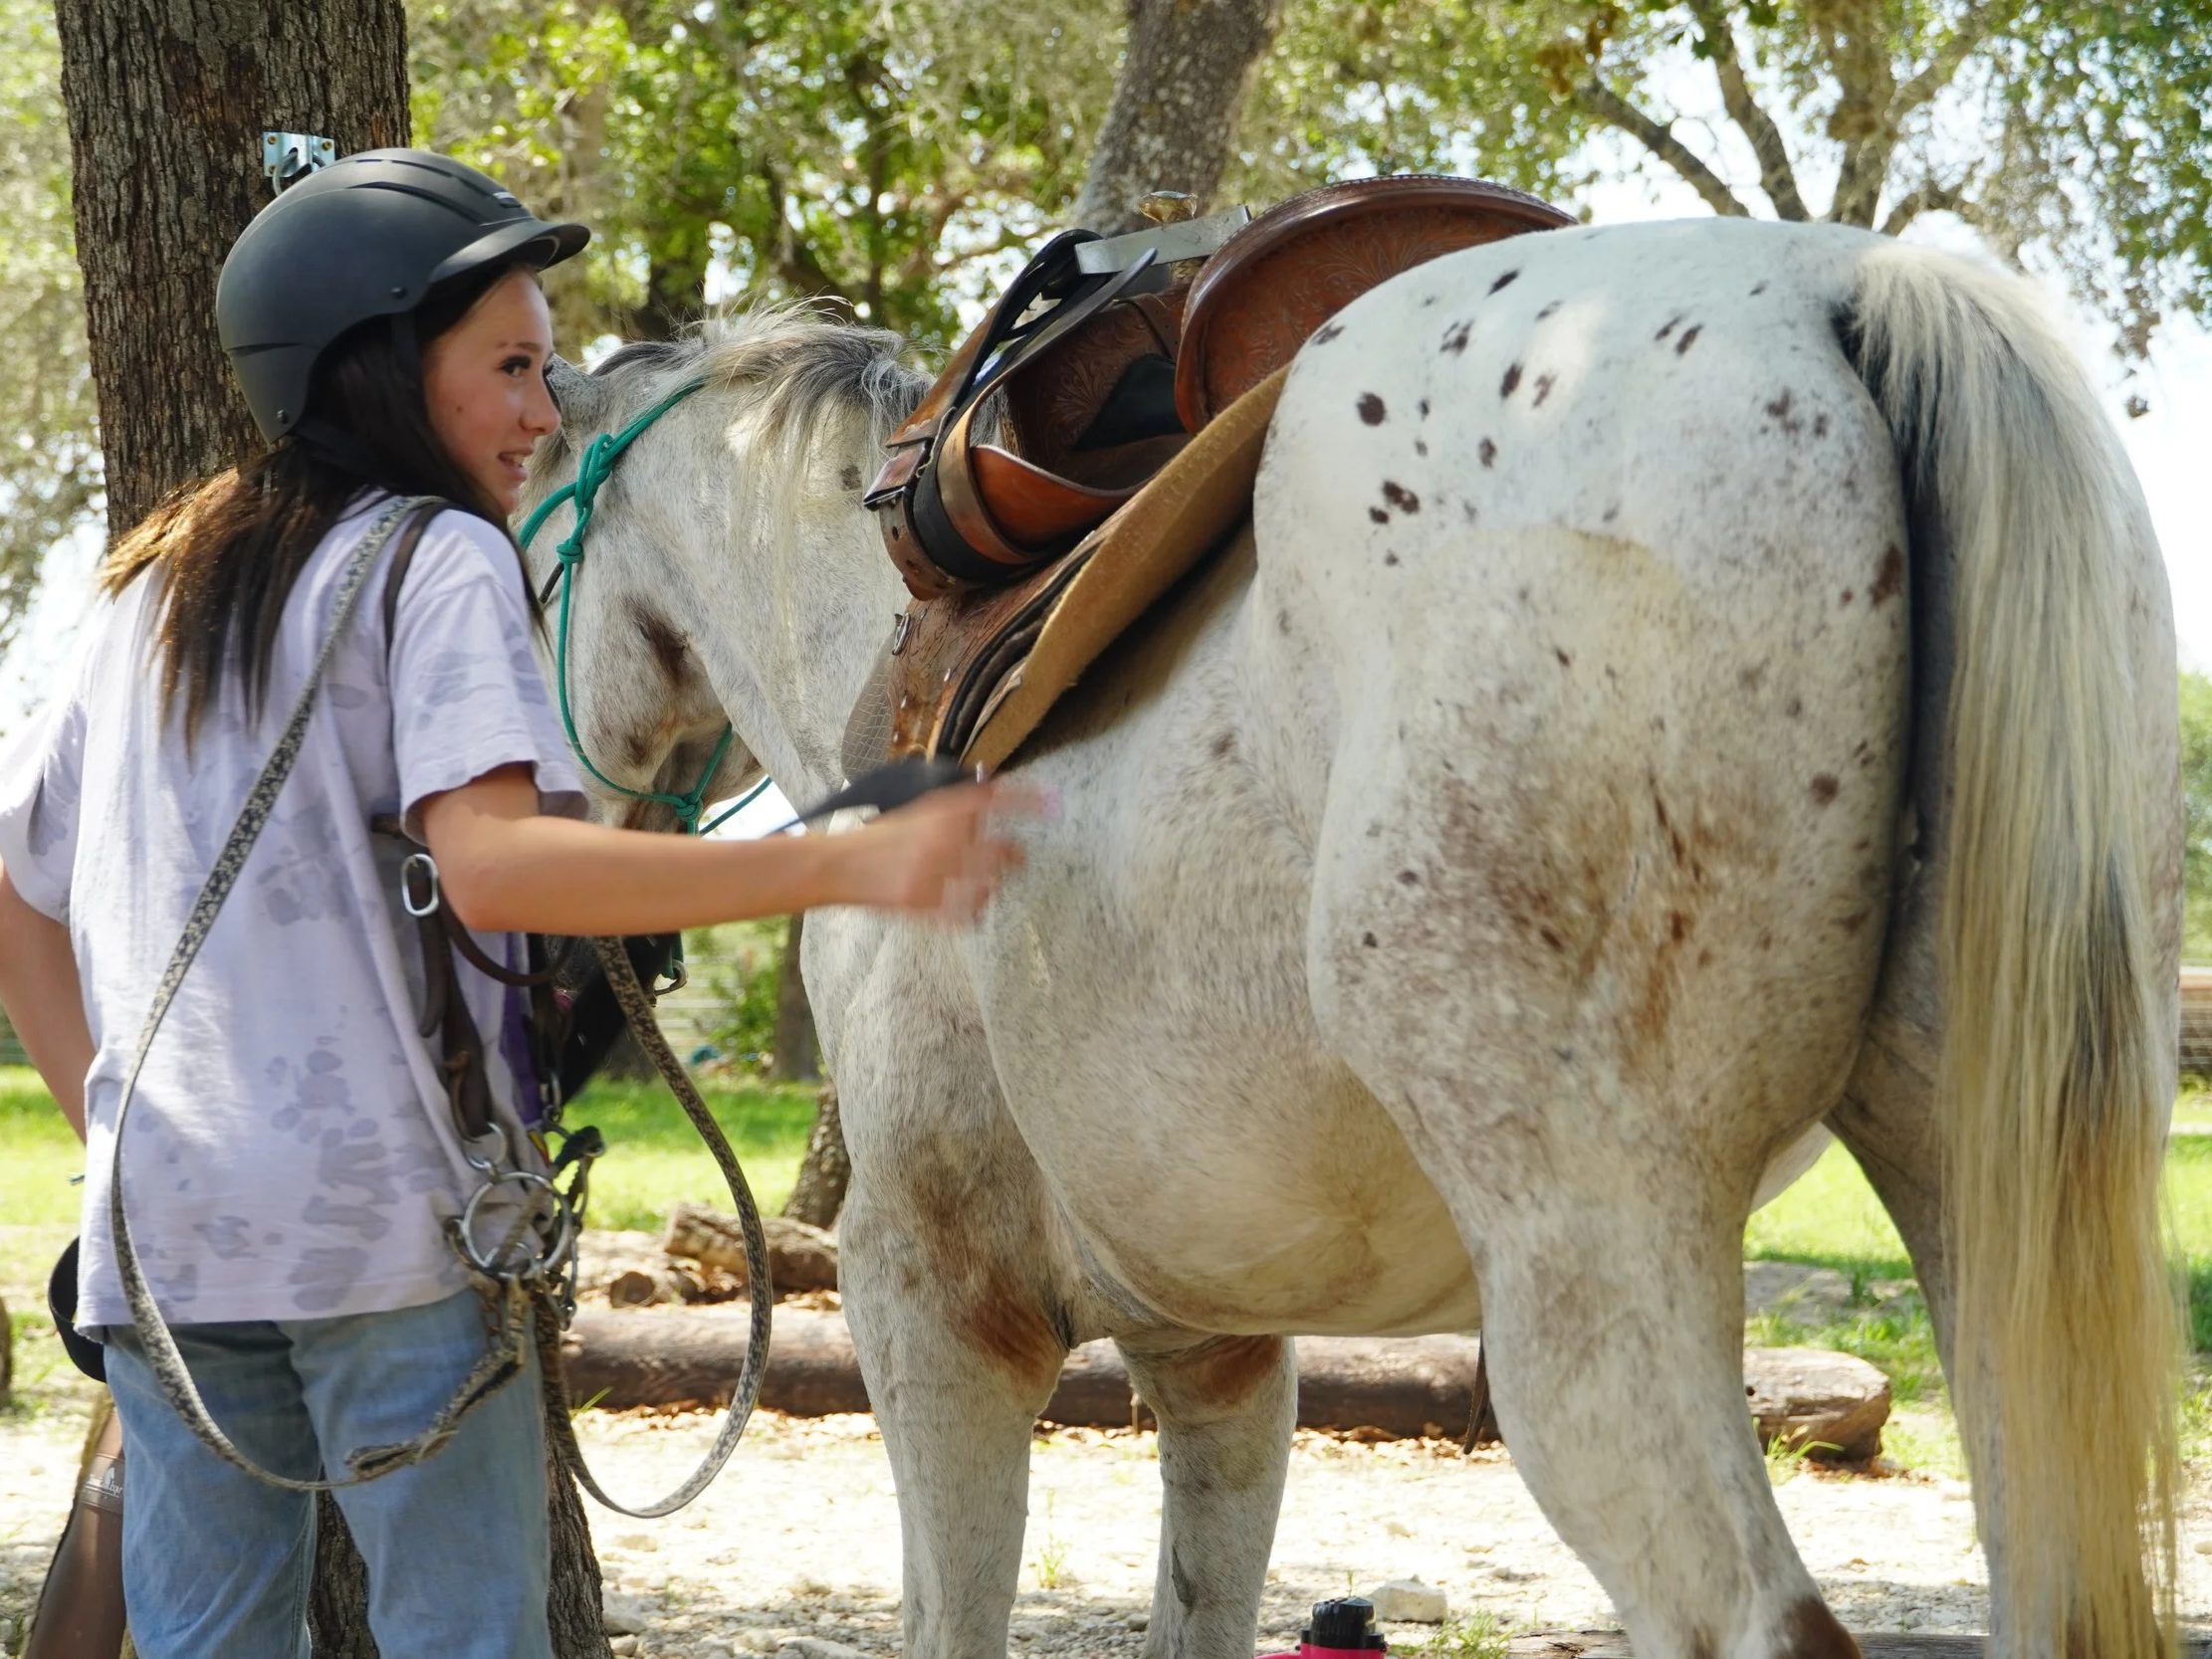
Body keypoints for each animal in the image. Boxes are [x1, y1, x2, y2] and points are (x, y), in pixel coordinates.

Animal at [523, 216, 2185, 1659]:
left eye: (519, 557)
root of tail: (1845, 292)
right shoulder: (1216, 1356)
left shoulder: (932, 1300)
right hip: (1984, 1218)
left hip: (1591, 1264)